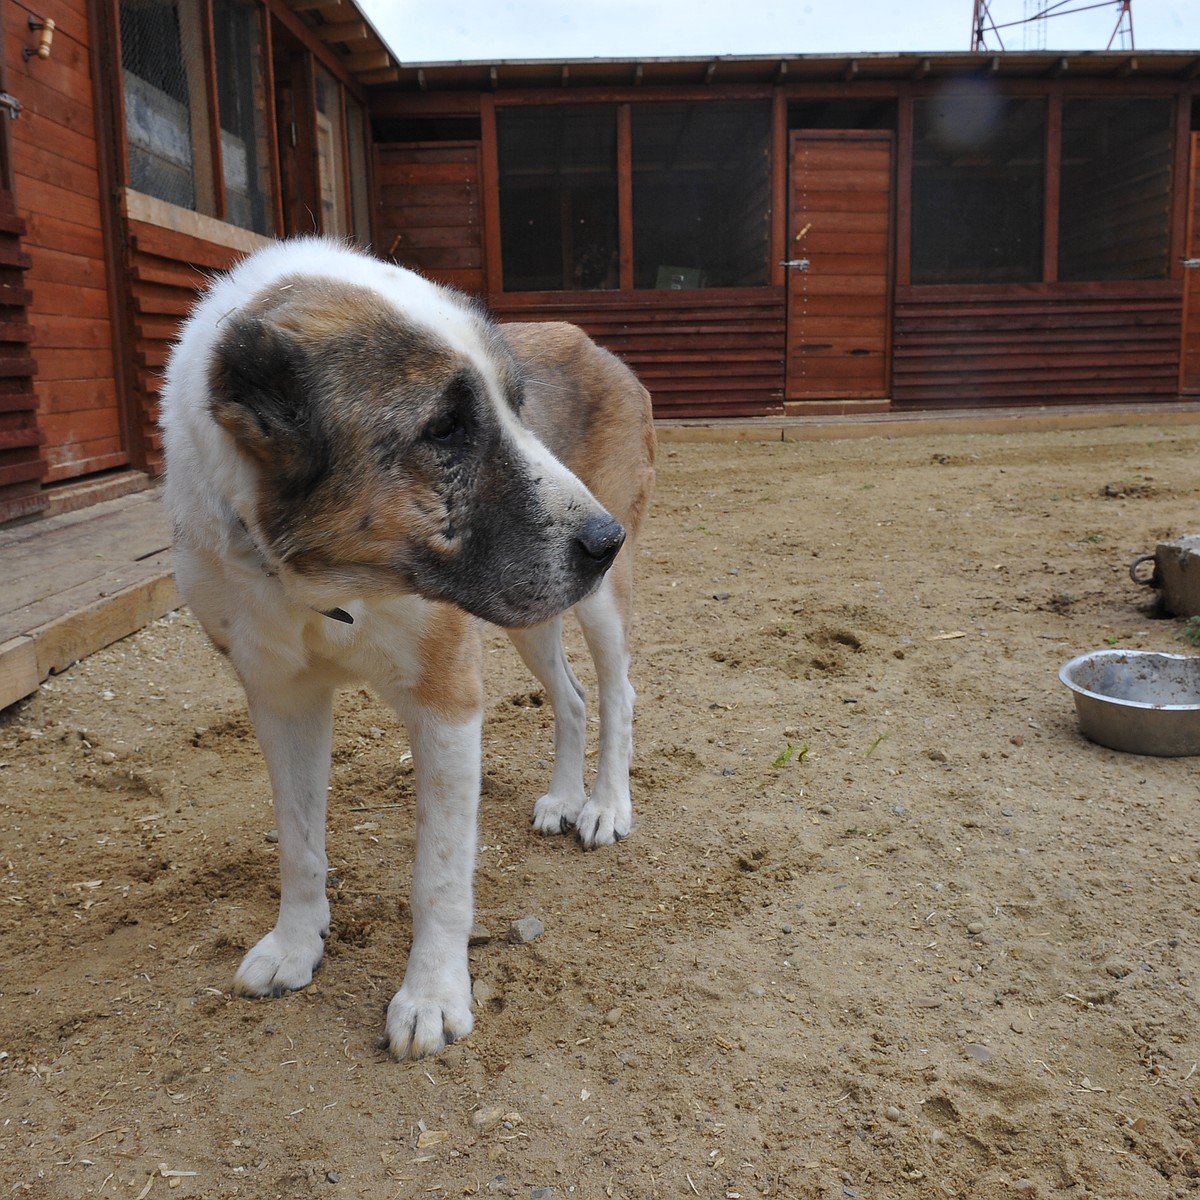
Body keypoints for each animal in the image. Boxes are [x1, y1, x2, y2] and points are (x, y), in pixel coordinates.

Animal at [159, 236, 657, 1060]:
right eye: (444, 429)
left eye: (519, 407)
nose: (605, 540)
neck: (325, 578)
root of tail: (596, 343)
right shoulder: (279, 698)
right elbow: (298, 842)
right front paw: (296, 944)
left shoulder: (447, 702)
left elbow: (440, 876)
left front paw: (431, 995)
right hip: (529, 613)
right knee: (573, 696)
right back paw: (563, 796)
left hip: (595, 602)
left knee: (616, 692)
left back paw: (605, 806)